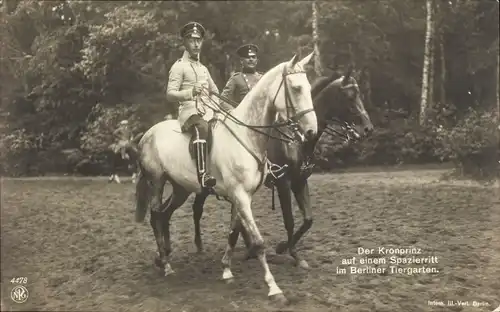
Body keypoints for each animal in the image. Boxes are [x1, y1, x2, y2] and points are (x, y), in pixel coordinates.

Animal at [189, 67, 374, 266]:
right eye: (349, 97)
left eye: (358, 94)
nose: (368, 128)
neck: (296, 140)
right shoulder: (283, 183)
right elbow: (289, 220)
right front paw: (289, 252)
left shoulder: (300, 181)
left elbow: (308, 219)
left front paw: (286, 249)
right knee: (198, 209)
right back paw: (201, 246)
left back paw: (248, 249)